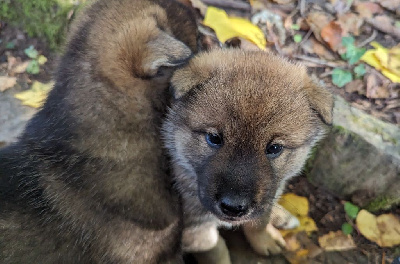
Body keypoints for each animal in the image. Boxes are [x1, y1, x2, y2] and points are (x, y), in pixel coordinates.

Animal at [163, 49, 334, 262]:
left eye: (275, 148)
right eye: (214, 138)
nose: (233, 207)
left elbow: (259, 221)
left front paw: (265, 239)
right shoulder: (195, 227)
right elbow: (215, 249)